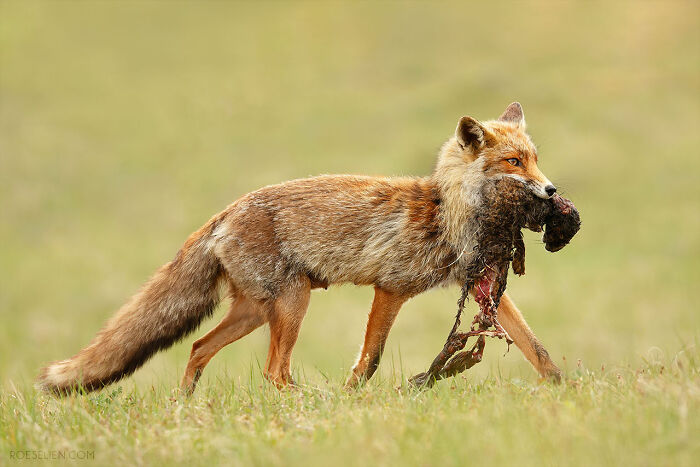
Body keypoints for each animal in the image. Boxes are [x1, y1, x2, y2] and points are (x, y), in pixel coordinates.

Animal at [37, 102, 563, 395]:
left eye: (536, 160)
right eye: (514, 162)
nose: (552, 190)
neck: (448, 214)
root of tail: (224, 213)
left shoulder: (483, 287)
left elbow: (537, 348)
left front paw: (566, 392)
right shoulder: (390, 289)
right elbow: (369, 360)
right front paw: (352, 399)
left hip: (255, 311)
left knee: (199, 347)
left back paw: (183, 407)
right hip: (293, 303)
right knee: (273, 372)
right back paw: (308, 403)